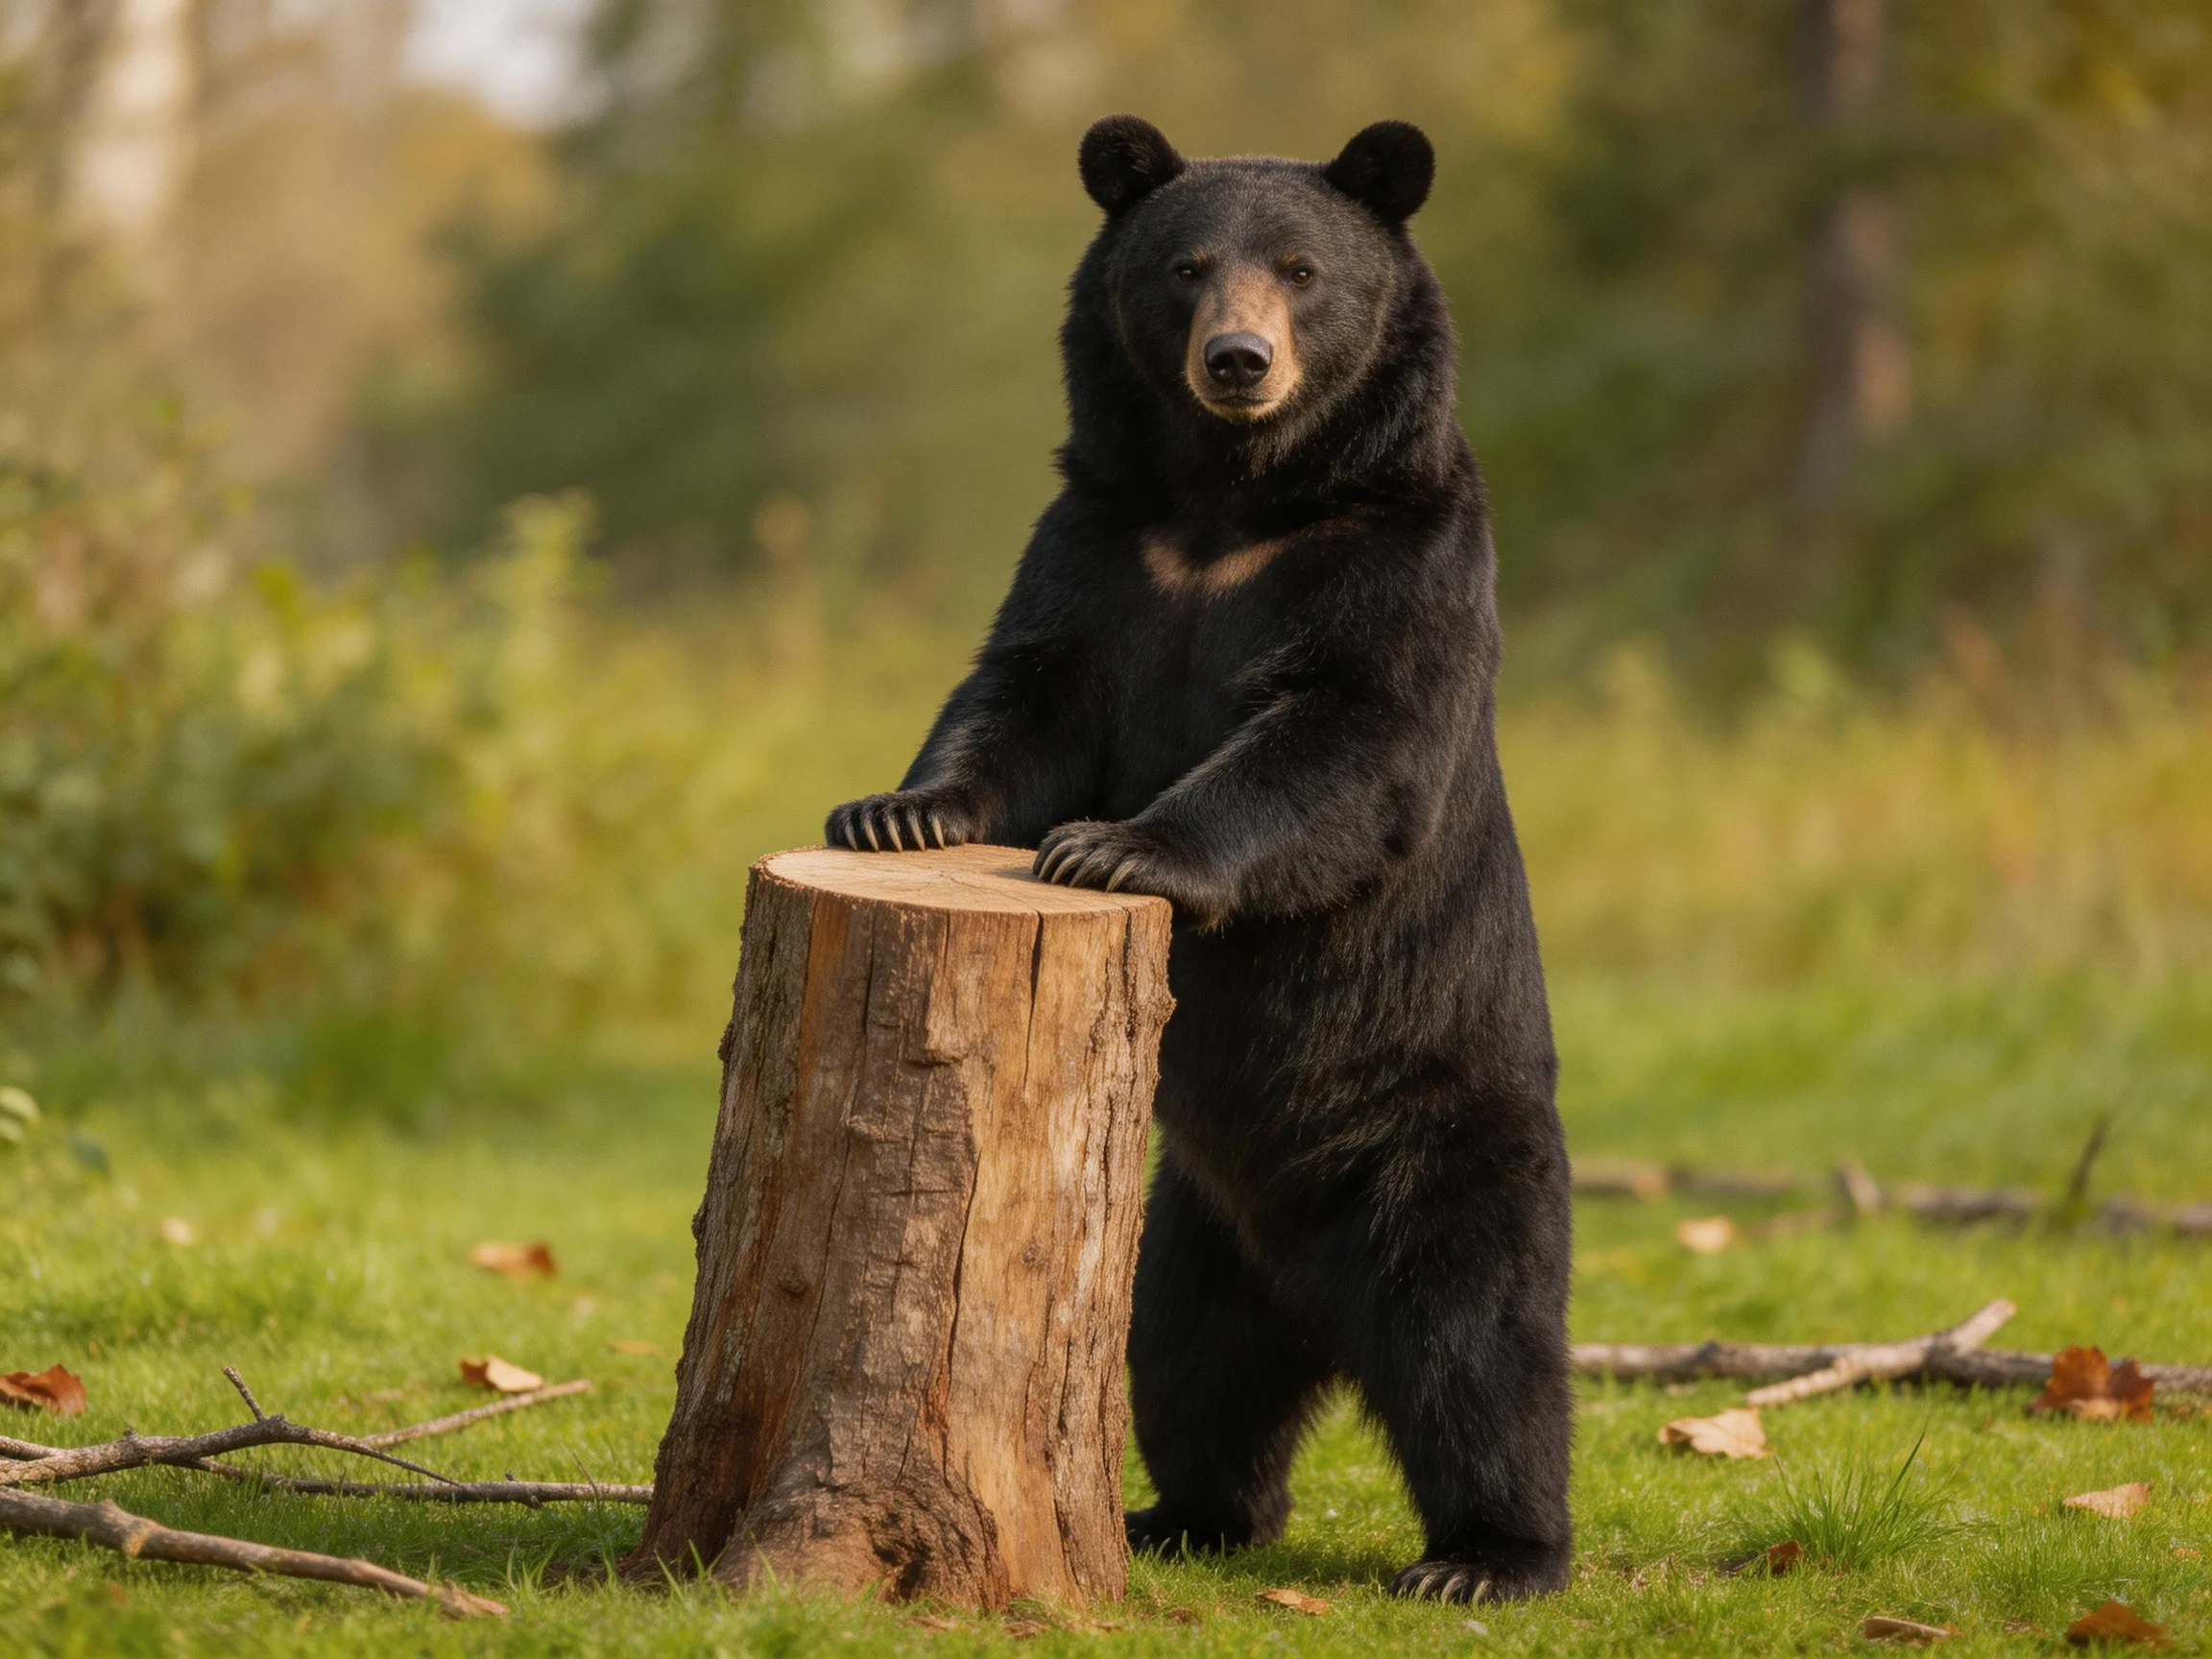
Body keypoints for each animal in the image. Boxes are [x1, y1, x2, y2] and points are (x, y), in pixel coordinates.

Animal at [825, 115, 1573, 1604]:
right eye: (1186, 267)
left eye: (1301, 270)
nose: (1239, 362)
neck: (1236, 507)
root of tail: (1316, 1292)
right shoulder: (1099, 553)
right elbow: (1021, 696)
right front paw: (895, 815)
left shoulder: (1398, 561)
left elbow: (1344, 735)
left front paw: (1113, 848)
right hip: (1184, 1230)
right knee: (1185, 1370)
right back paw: (1189, 1512)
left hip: (1445, 1139)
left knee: (1485, 1349)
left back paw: (1487, 1556)